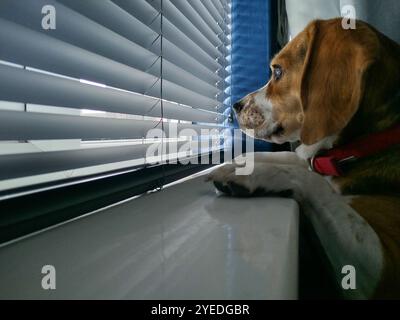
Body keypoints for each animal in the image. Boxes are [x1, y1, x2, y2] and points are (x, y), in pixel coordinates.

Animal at [209, 18, 400, 298]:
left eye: (277, 72)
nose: (234, 106)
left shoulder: (384, 265)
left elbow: (314, 182)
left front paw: (250, 173)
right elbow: (296, 159)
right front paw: (242, 159)